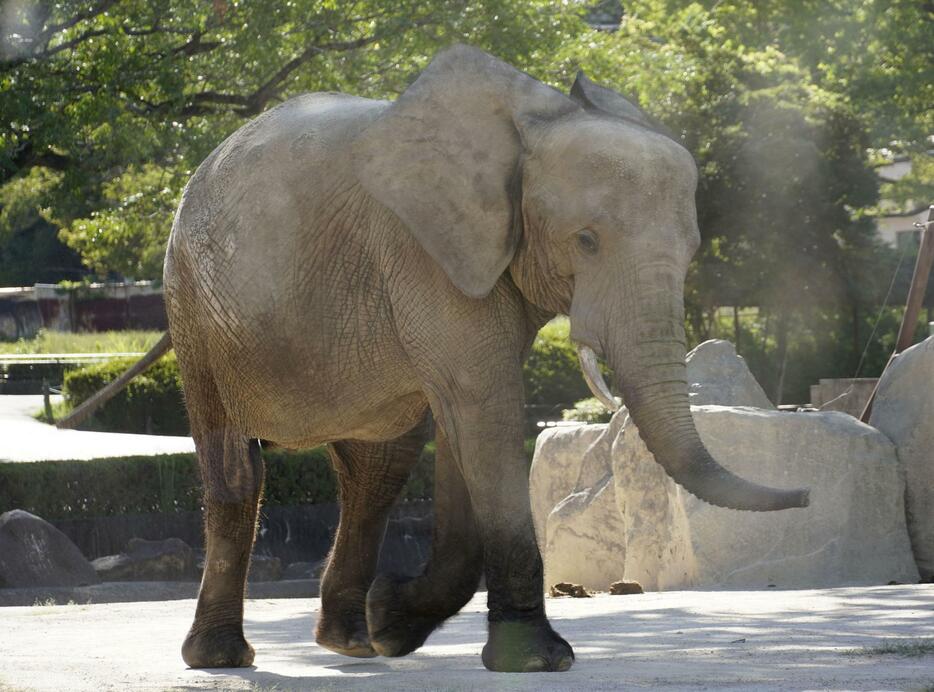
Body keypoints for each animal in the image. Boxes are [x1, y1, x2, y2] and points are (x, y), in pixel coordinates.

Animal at [161, 43, 804, 672]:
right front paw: (537, 660)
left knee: (378, 471)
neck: (532, 120)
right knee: (238, 469)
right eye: (586, 241)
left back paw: (353, 642)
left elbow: (463, 422)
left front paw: (391, 620)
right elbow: (481, 404)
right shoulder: (424, 250)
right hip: (193, 305)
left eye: (692, 250)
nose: (803, 495)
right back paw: (222, 656)